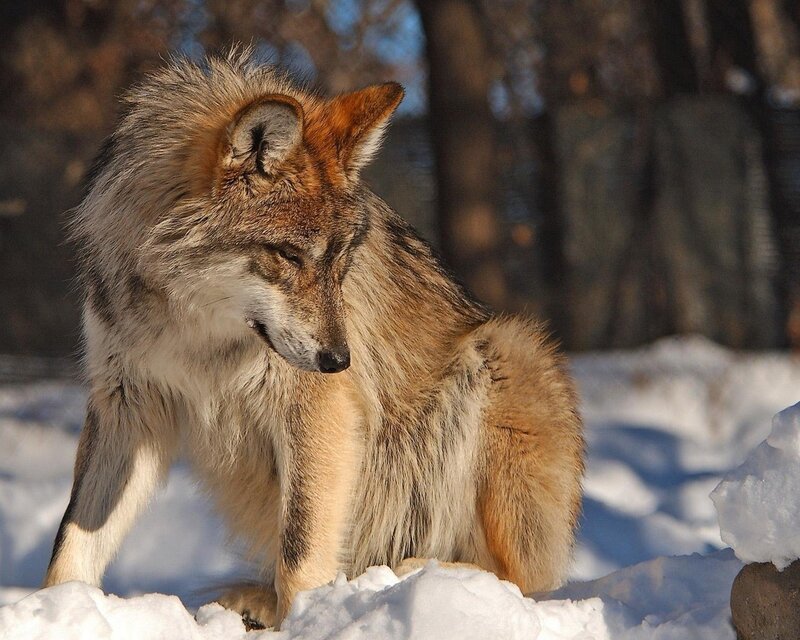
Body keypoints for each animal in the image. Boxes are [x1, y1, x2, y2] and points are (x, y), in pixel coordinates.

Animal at [43, 49, 584, 628]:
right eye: (289, 255)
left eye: (341, 257)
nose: (340, 360)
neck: (194, 329)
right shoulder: (126, 404)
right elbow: (72, 540)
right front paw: (54, 606)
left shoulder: (317, 408)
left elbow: (301, 549)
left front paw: (308, 618)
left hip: (505, 352)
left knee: (517, 578)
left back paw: (412, 572)